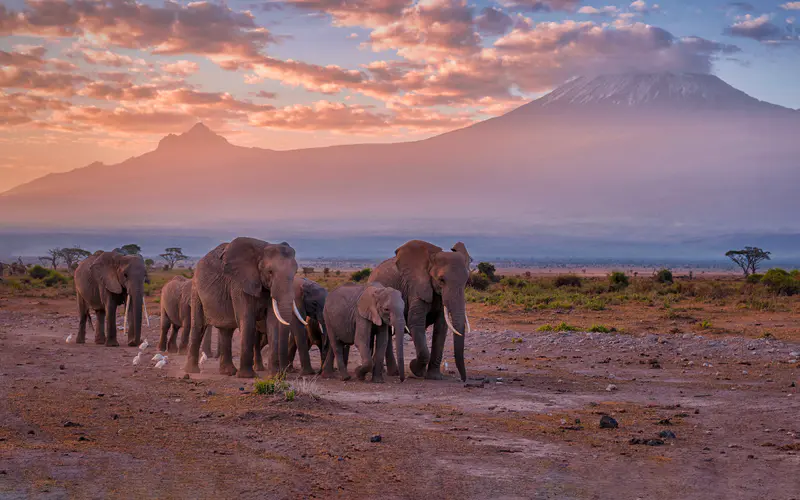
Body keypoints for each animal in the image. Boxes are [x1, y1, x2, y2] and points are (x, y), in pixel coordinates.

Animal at [183, 238, 308, 378]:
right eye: (270, 272)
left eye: (295, 272)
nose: (281, 374)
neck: (261, 250)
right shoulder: (239, 284)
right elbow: (247, 319)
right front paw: (246, 376)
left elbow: (272, 322)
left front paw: (274, 376)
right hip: (196, 290)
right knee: (198, 326)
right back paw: (192, 371)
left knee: (226, 331)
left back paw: (228, 372)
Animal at [368, 240, 472, 380]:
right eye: (441, 280)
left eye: (466, 281)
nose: (463, 379)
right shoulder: (416, 288)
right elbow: (416, 322)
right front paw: (415, 369)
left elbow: (441, 327)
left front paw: (434, 377)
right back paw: (393, 373)